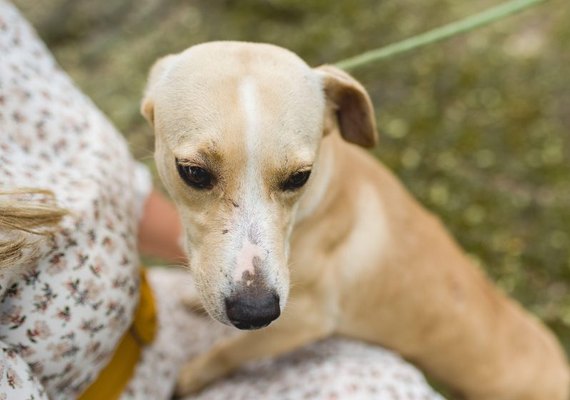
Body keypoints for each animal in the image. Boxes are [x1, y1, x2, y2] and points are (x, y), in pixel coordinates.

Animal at [140, 42, 564, 398]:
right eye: (193, 172)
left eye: (300, 177)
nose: (255, 312)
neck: (320, 198)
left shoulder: (303, 321)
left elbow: (228, 352)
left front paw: (189, 378)